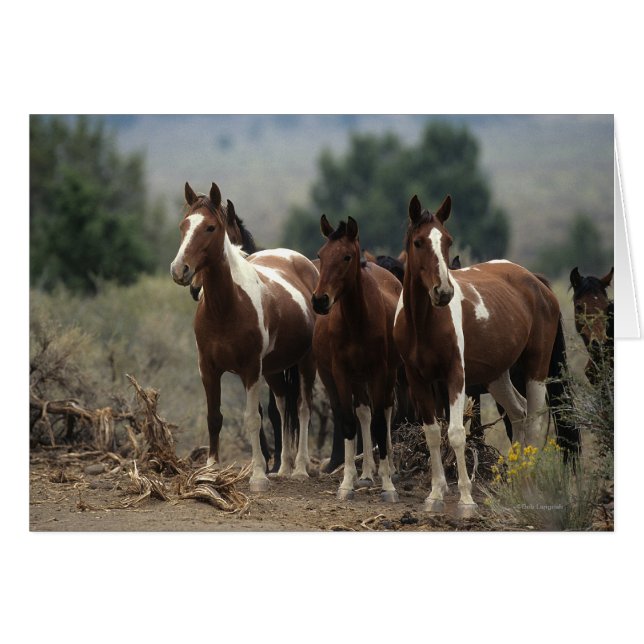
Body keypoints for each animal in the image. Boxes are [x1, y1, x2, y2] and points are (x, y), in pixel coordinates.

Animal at [170, 181, 318, 491]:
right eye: (184, 225)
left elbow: (253, 419)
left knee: (302, 408)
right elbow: (214, 418)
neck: (226, 307)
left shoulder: (250, 370)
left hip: (306, 362)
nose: (180, 270)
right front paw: (210, 471)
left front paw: (259, 475)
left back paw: (299, 468)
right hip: (274, 369)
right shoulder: (208, 369)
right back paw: (283, 467)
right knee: (283, 406)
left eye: (211, 227)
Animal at [312, 215, 403, 502]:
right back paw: (366, 474)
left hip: (387, 374)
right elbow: (350, 421)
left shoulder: (379, 371)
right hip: (351, 378)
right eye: (321, 254)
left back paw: (389, 469)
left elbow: (379, 423)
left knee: (386, 411)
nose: (320, 300)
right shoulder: (340, 373)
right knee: (363, 412)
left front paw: (388, 486)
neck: (356, 321)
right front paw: (347, 484)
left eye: (347, 256)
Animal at [393, 194, 578, 515]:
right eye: (418, 242)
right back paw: (519, 483)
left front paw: (466, 501)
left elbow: (456, 433)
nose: (443, 292)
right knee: (518, 413)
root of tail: (536, 282)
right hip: (498, 375)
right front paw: (435, 495)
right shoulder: (418, 379)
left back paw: (530, 485)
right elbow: (432, 434)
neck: (423, 323)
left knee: (535, 420)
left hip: (536, 368)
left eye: (448, 241)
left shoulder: (455, 376)